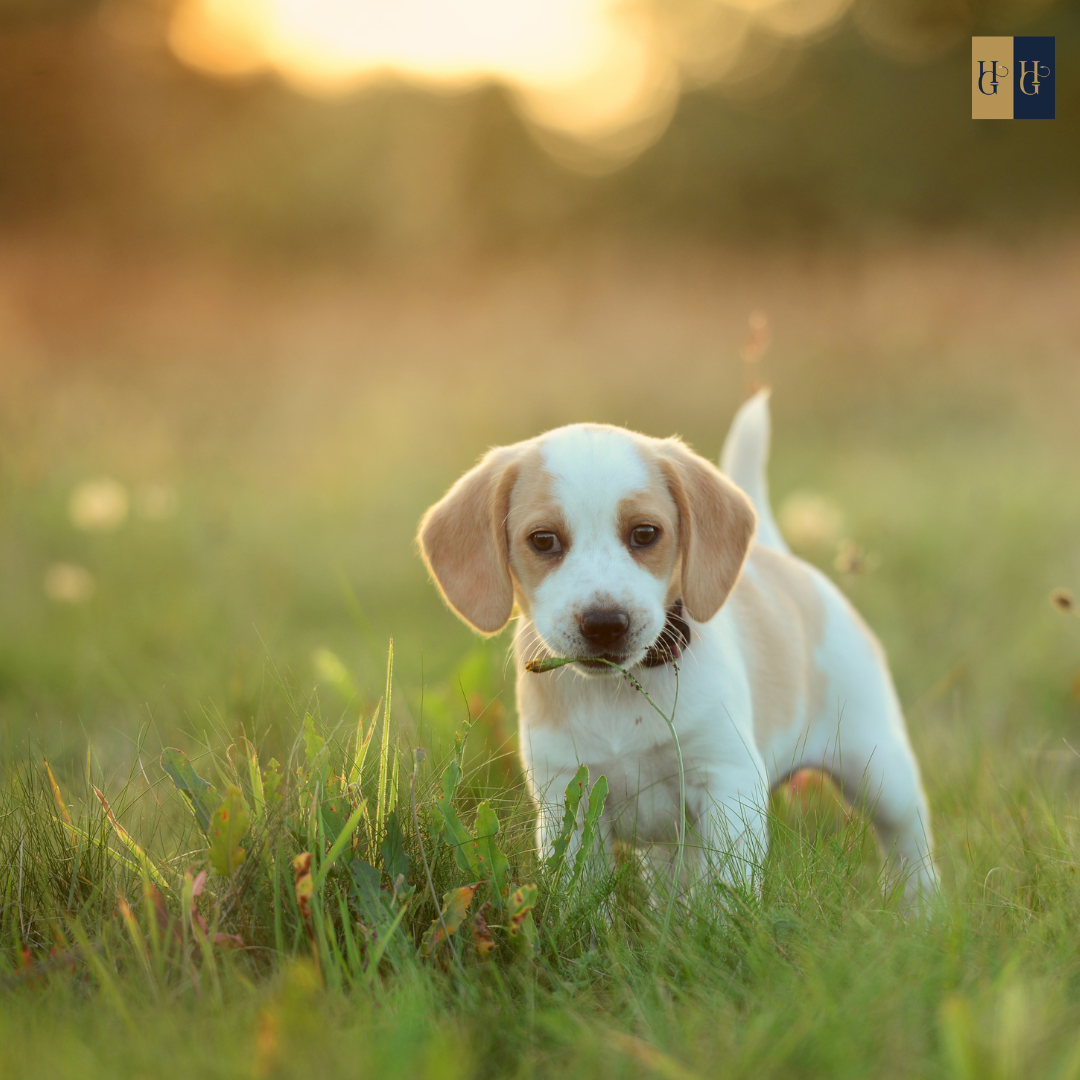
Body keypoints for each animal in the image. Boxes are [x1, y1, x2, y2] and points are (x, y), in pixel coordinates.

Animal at [416, 393, 941, 898]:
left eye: (645, 533)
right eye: (543, 540)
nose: (605, 624)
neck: (619, 693)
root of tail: (782, 558)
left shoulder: (728, 782)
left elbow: (727, 892)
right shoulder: (567, 799)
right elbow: (580, 900)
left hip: (880, 769)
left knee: (910, 847)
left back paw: (921, 910)